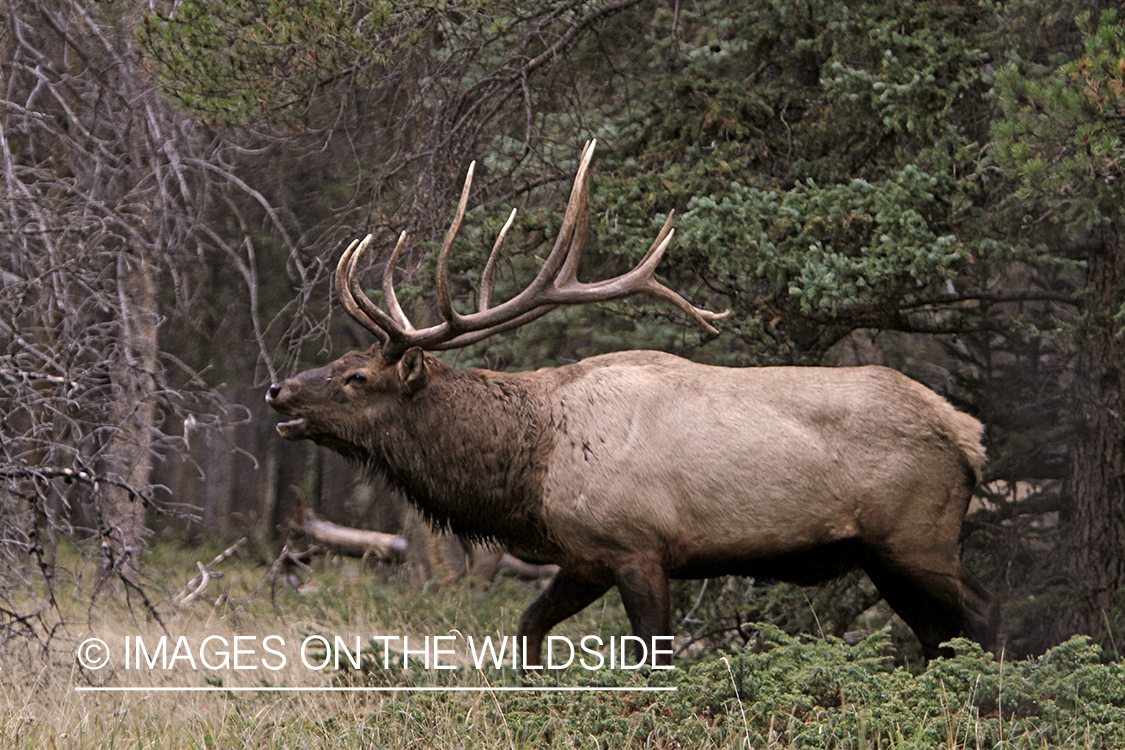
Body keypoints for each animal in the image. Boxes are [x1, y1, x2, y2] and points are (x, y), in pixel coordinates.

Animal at [266, 141, 997, 668]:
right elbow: (527, 629)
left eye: (357, 376)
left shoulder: (635, 545)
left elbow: (655, 660)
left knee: (983, 629)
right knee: (942, 641)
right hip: (887, 554)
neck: (525, 471)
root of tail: (967, 432)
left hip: (916, 537)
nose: (278, 389)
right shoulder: (583, 555)